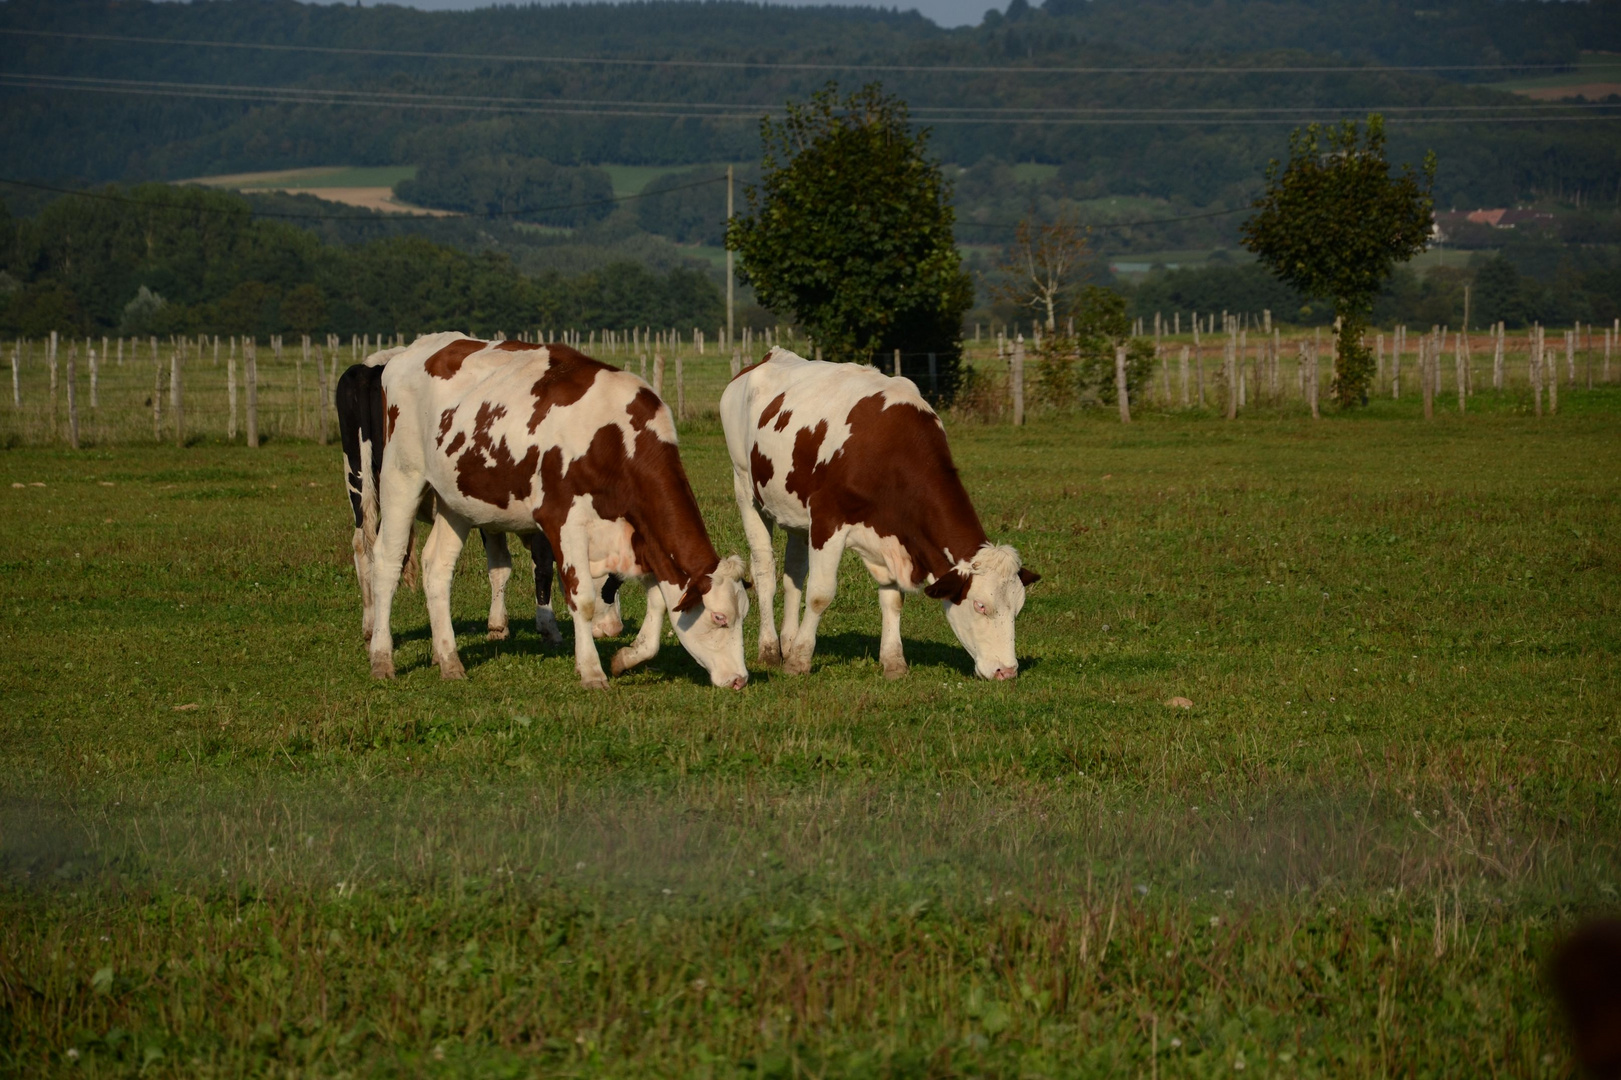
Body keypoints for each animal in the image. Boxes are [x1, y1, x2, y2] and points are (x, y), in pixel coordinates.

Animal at [367, 332, 745, 690]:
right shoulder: (563, 519)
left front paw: (625, 658)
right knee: (386, 562)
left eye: (745, 614)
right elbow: (584, 598)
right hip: (401, 477)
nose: (740, 679)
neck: (612, 437)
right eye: (719, 618)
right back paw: (382, 658)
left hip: (455, 500)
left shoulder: (641, 535)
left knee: (437, 568)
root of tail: (411, 351)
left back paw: (449, 661)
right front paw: (592, 671)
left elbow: (658, 604)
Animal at [722, 348, 1037, 677]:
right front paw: (800, 661)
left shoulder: (892, 536)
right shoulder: (826, 520)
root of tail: (771, 356)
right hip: (745, 487)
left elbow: (893, 599)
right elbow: (820, 594)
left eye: (1017, 609)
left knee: (793, 574)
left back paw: (789, 640)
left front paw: (894, 662)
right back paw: (770, 649)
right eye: (980, 606)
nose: (1007, 671)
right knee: (765, 572)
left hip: (793, 510)